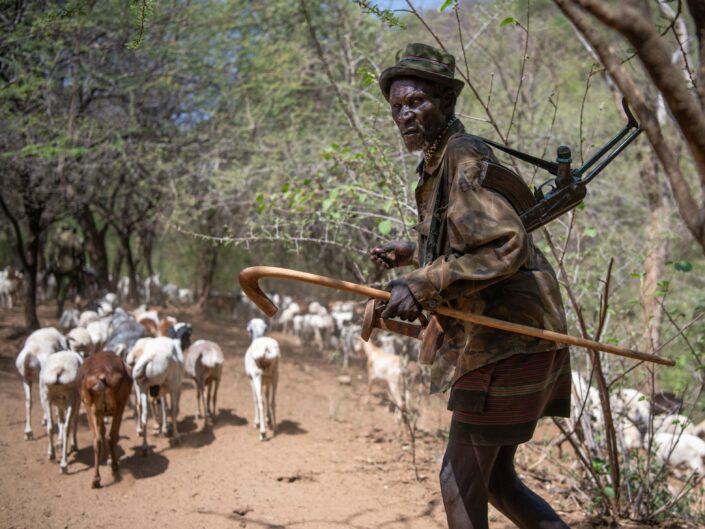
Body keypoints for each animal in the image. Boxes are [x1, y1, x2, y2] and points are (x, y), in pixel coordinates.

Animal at [77, 348, 133, 488]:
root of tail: (102, 376)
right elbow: (103, 431)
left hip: (93, 407)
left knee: (103, 437)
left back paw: (103, 476)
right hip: (112, 407)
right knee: (105, 437)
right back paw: (103, 475)